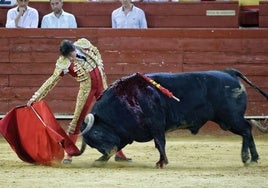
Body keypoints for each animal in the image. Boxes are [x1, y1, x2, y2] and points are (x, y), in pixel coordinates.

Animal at [78, 68, 266, 167]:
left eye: (96, 134)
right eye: (91, 143)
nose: (106, 152)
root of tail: (229, 72)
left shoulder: (156, 124)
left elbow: (160, 143)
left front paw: (162, 162)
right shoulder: (126, 134)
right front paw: (100, 160)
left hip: (230, 118)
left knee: (247, 129)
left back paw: (249, 158)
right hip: (226, 120)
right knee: (246, 131)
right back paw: (251, 158)